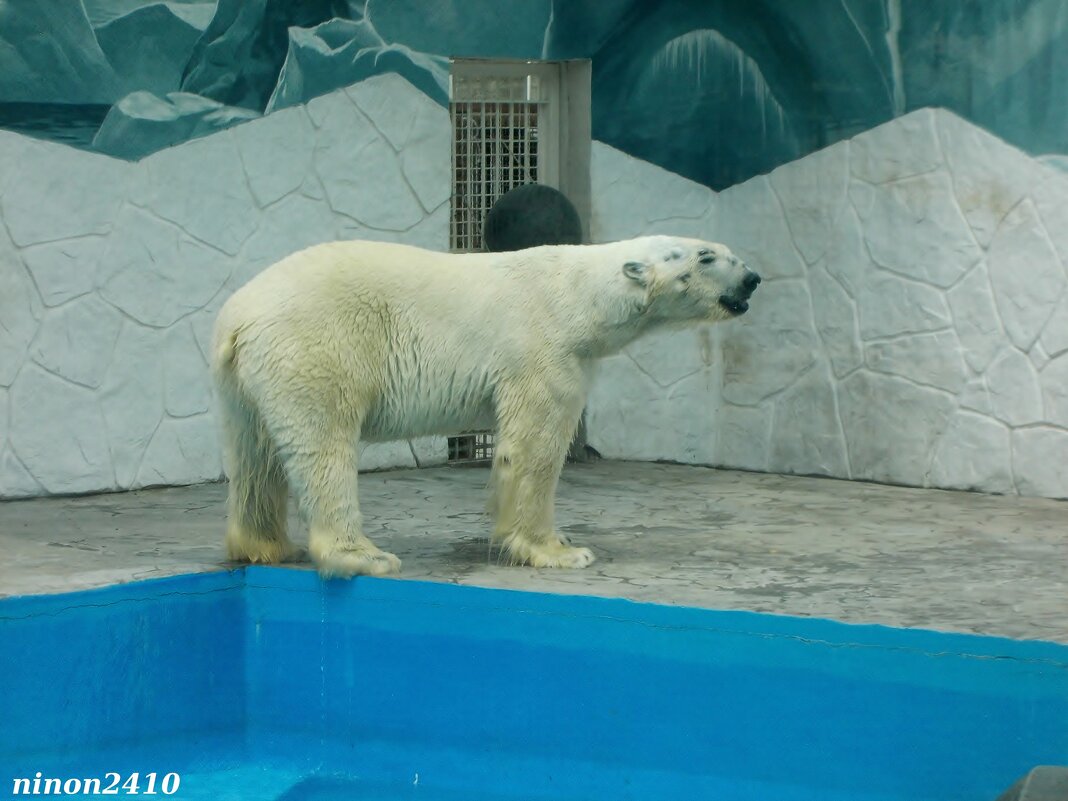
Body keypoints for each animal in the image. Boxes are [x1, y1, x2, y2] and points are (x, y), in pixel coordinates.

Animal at [210, 234, 760, 580]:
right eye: (706, 256)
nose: (753, 277)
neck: (577, 295)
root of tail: (236, 317)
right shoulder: (542, 348)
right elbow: (534, 448)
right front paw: (559, 551)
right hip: (315, 347)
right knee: (323, 446)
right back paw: (364, 557)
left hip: (245, 380)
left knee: (256, 454)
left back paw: (265, 546)